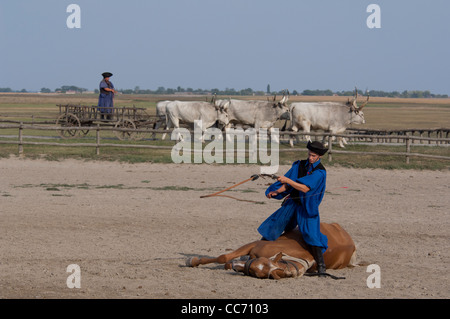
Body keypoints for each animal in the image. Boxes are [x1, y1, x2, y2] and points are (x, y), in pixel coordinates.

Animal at [185, 222, 356, 280]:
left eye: (256, 272)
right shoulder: (252, 245)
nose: (237, 267)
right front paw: (192, 261)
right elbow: (224, 257)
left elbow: (226, 260)